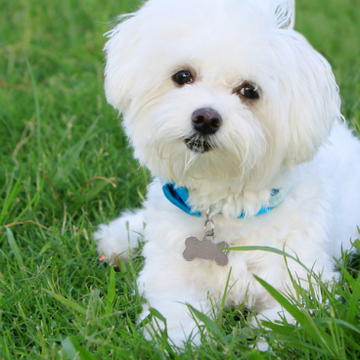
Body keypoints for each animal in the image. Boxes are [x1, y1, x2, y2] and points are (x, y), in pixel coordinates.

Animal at [94, 0, 360, 348]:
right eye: (183, 76)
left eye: (249, 91)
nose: (205, 118)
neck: (225, 204)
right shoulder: (173, 276)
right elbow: (176, 318)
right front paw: (182, 343)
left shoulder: (305, 288)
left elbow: (287, 327)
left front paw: (259, 345)